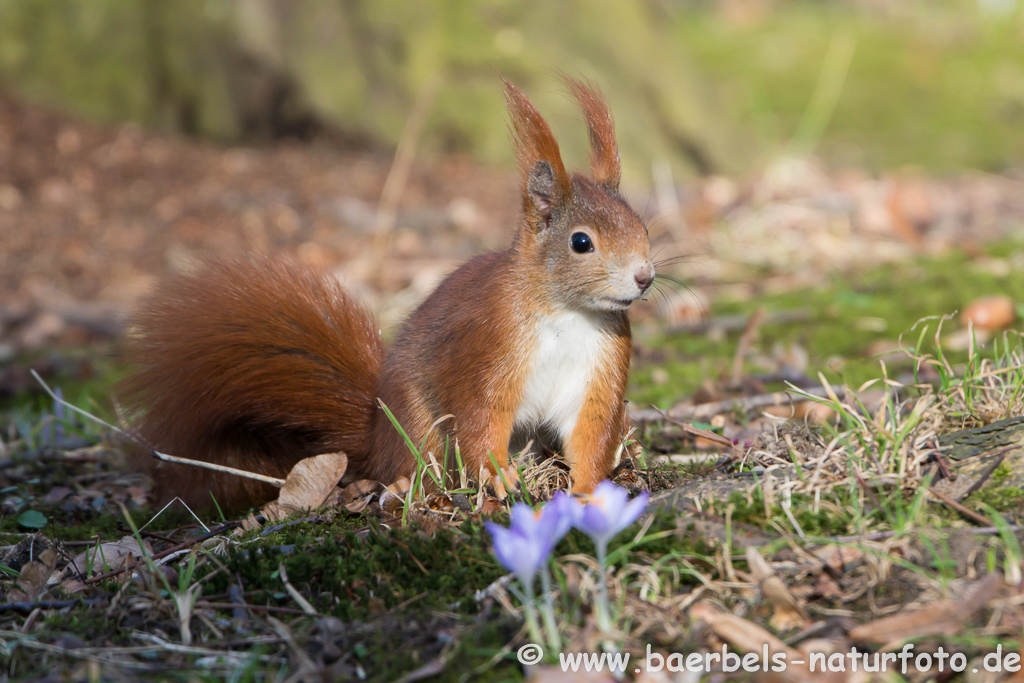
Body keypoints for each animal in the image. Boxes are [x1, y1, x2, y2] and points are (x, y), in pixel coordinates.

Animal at [119, 77, 647, 509]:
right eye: (581, 243)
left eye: (641, 225)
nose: (644, 277)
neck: (567, 313)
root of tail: (376, 438)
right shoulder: (489, 347)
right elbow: (480, 417)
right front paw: (498, 477)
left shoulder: (600, 367)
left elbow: (592, 432)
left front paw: (589, 491)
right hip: (416, 425)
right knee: (420, 462)